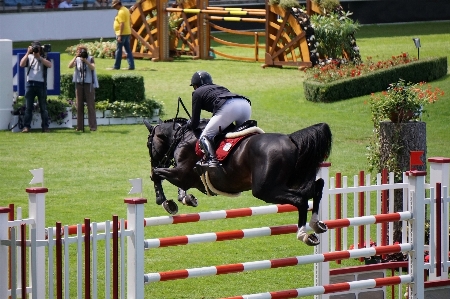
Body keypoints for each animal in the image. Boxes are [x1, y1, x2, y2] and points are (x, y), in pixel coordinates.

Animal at [144, 118, 330, 247]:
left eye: (148, 143)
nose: (154, 161)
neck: (183, 137)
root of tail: (291, 140)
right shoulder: (186, 178)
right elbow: (175, 185)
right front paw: (186, 198)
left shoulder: (182, 174)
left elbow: (157, 175)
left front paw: (165, 202)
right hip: (292, 181)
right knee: (317, 187)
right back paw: (316, 224)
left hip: (266, 190)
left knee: (301, 200)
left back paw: (303, 234)